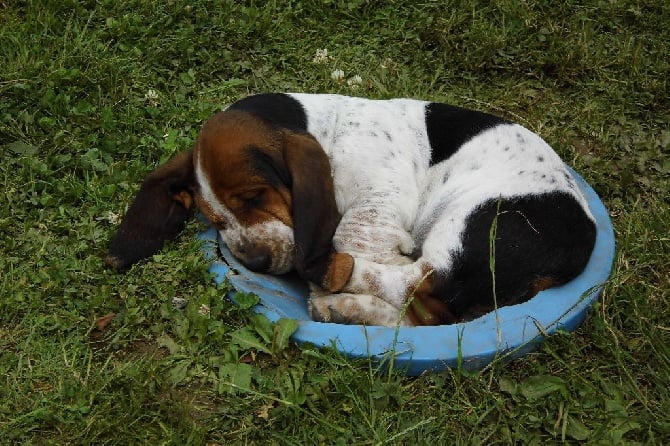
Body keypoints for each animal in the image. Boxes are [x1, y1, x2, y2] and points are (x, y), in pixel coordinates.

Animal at [106, 92, 600, 326]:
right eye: (214, 220)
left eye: (255, 197)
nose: (257, 262)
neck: (327, 127)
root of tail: (579, 250)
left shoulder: (379, 196)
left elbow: (354, 234)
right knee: (426, 314)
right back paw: (347, 309)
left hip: (474, 223)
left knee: (416, 284)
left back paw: (334, 279)